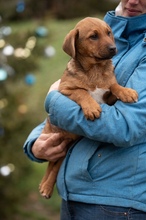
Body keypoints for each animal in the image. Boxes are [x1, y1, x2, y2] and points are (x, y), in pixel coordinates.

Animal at [38, 17, 138, 199]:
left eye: (109, 33)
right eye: (93, 36)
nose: (114, 49)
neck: (95, 69)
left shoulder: (108, 97)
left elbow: (113, 85)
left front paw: (126, 92)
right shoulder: (65, 90)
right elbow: (82, 92)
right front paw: (92, 108)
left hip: (66, 145)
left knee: (55, 164)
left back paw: (45, 186)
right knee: (53, 164)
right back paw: (46, 186)